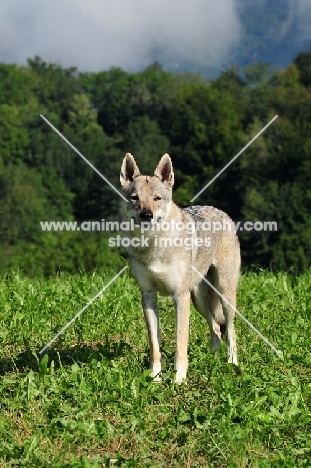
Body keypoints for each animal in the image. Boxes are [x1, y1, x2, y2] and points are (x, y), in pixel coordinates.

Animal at [120, 154, 241, 384]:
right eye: (135, 198)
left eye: (157, 198)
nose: (147, 215)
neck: (154, 247)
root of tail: (221, 211)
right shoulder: (148, 296)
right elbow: (155, 346)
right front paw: (155, 378)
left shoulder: (179, 297)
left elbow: (180, 344)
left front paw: (179, 380)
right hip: (199, 301)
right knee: (215, 329)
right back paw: (213, 359)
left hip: (223, 295)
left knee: (230, 330)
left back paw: (232, 363)